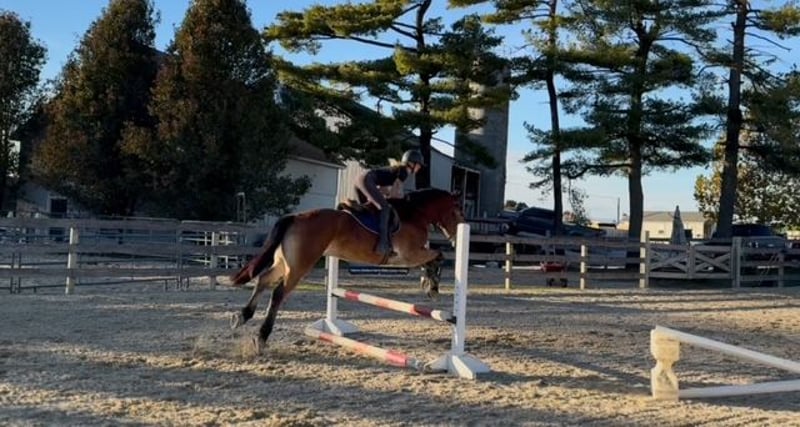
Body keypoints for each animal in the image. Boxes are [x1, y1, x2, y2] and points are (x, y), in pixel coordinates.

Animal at [228, 187, 465, 351]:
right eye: (457, 212)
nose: (456, 239)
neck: (416, 213)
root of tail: (295, 217)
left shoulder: (413, 255)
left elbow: (431, 260)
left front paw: (428, 283)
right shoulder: (410, 254)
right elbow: (437, 256)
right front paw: (432, 286)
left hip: (285, 263)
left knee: (263, 280)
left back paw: (242, 316)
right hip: (300, 266)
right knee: (278, 293)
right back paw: (261, 337)